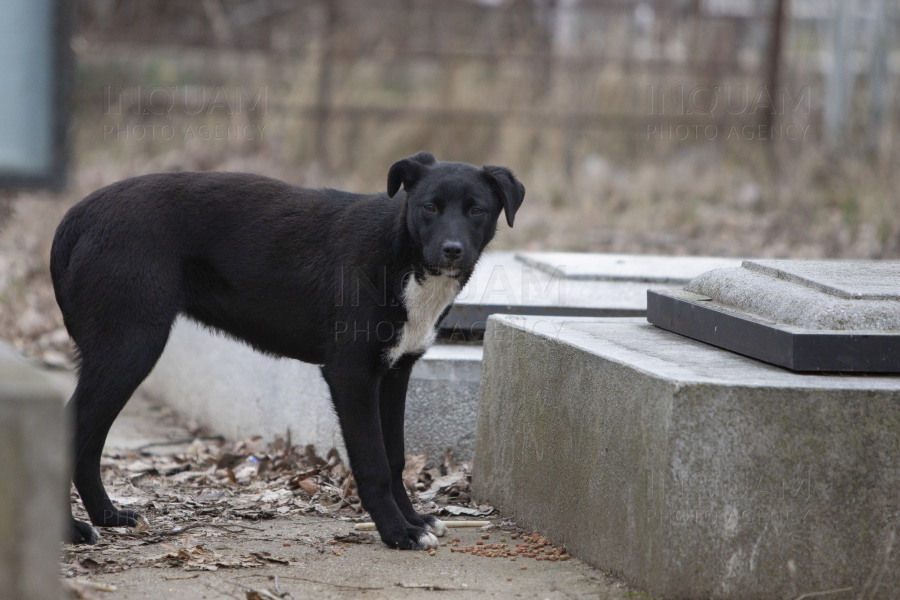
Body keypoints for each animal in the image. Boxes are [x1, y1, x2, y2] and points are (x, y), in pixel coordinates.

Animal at [49, 154, 524, 548]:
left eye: (476, 210)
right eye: (429, 207)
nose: (452, 251)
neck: (401, 254)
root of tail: (77, 215)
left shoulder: (395, 374)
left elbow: (394, 458)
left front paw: (413, 521)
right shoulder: (351, 375)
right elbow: (373, 464)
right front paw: (396, 533)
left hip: (120, 359)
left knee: (89, 445)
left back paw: (106, 515)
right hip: (129, 350)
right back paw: (71, 530)